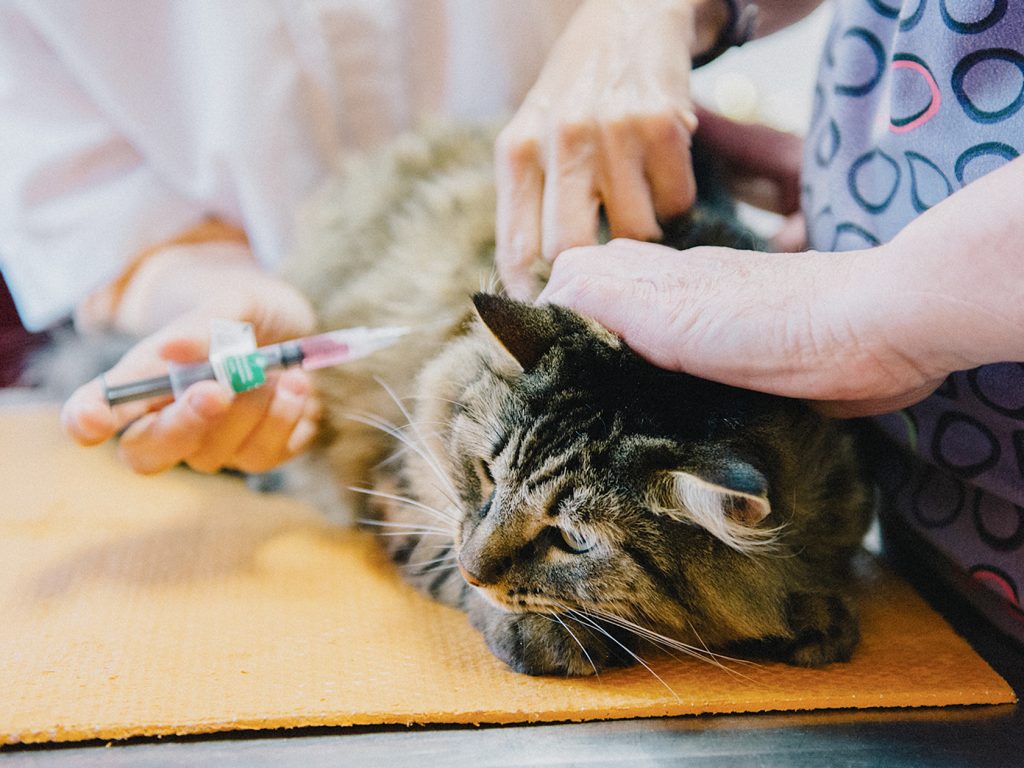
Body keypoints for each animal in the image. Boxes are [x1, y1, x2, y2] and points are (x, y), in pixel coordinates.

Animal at [288, 123, 872, 675]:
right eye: (487, 476)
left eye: (573, 540)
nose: (473, 570)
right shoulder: (396, 482)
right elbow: (436, 551)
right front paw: (547, 636)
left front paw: (815, 617)